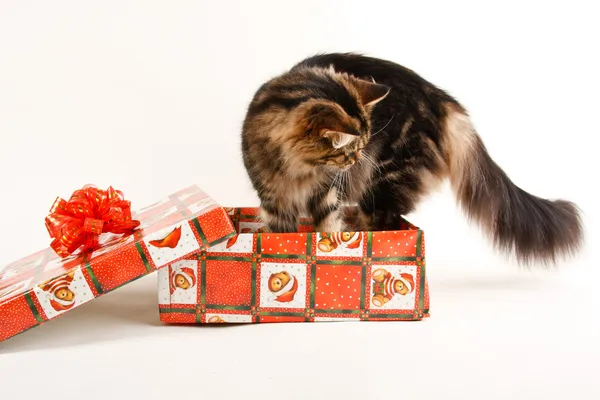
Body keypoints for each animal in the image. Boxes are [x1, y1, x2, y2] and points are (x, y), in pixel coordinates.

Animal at [241, 53, 584, 266]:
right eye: (347, 150)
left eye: (360, 146)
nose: (356, 160)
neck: (297, 170)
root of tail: (442, 99)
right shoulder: (274, 201)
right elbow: (283, 239)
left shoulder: (327, 195)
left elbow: (327, 230)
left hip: (383, 186)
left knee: (387, 226)